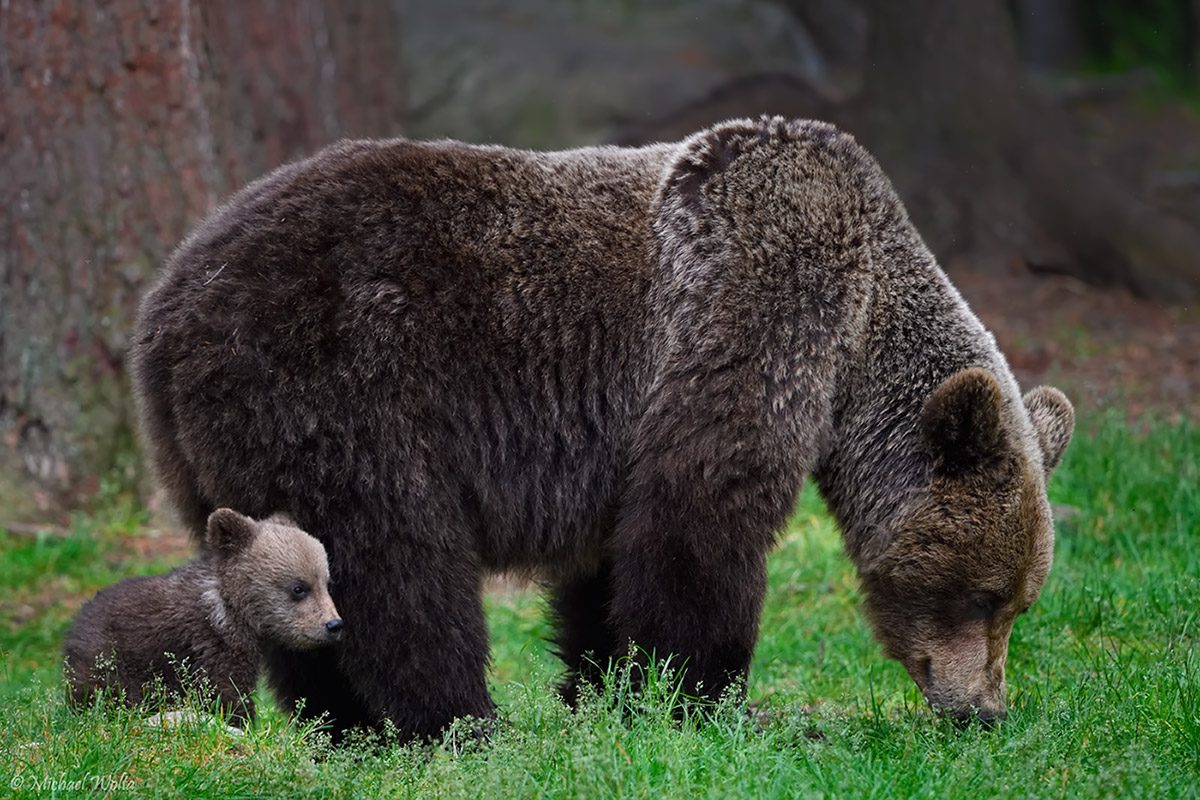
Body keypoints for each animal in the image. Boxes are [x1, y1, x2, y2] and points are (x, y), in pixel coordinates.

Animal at [133, 117, 1080, 738]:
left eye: (1020, 603)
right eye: (986, 595)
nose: (984, 709)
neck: (860, 329)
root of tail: (169, 299)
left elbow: (606, 563)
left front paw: (607, 687)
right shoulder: (753, 310)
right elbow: (698, 517)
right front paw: (705, 696)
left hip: (208, 451)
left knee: (284, 573)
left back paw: (343, 724)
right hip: (339, 387)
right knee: (396, 559)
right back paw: (460, 720)